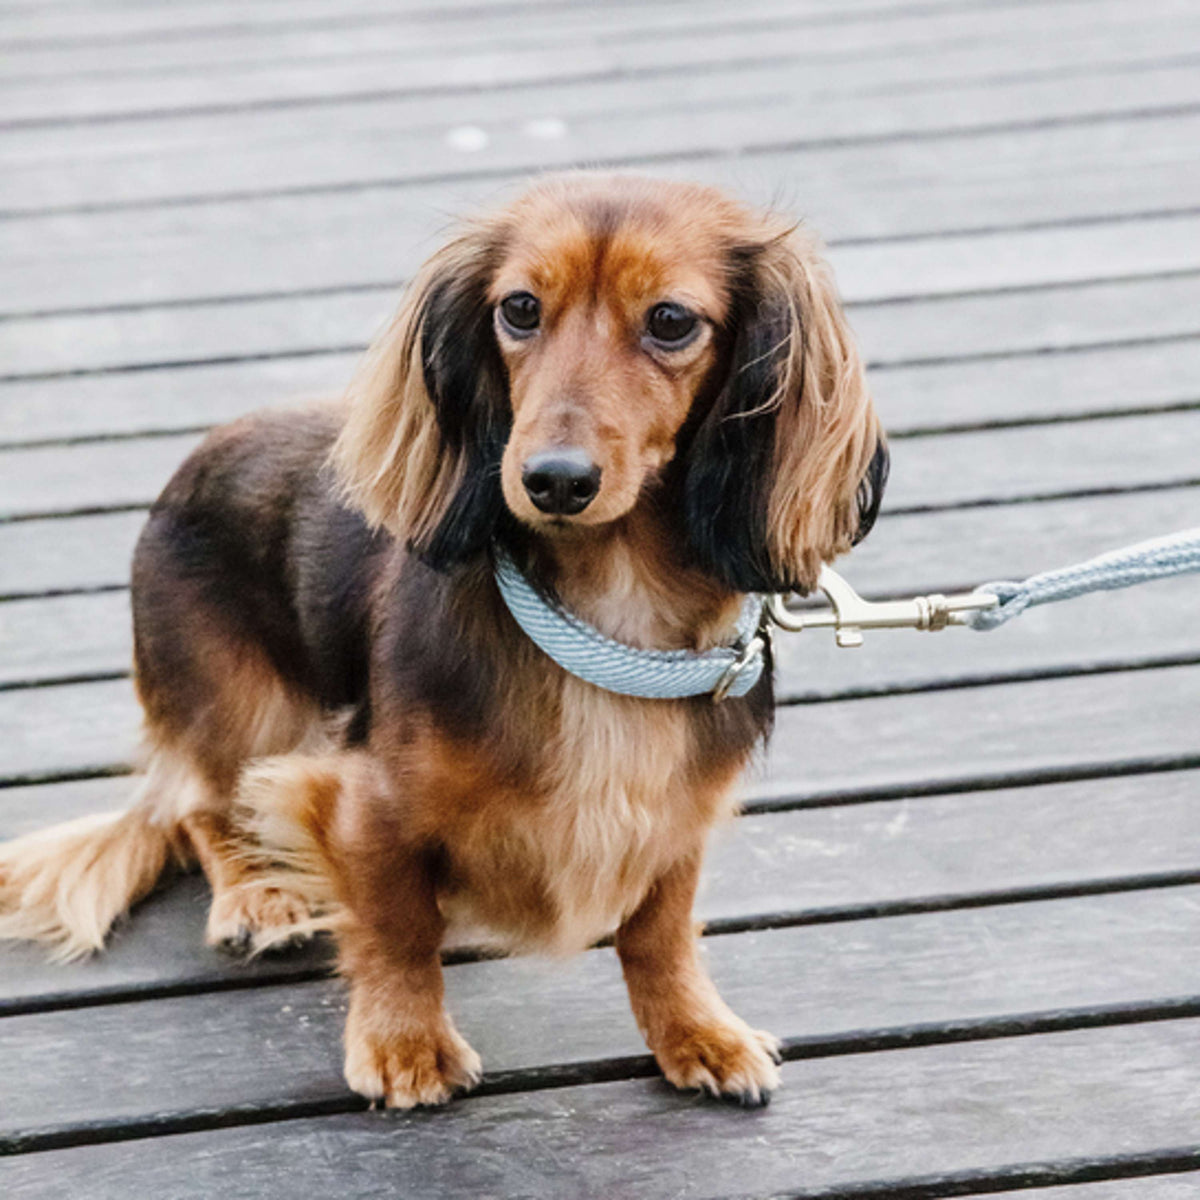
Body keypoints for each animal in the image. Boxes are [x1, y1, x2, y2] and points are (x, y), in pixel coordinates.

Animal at [0, 174, 883, 1108]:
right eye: (520, 308)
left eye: (672, 321)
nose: (553, 481)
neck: (604, 620)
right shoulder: (361, 799)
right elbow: (396, 926)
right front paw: (404, 1041)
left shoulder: (678, 818)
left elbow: (660, 931)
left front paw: (695, 1031)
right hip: (238, 705)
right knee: (198, 804)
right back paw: (256, 895)